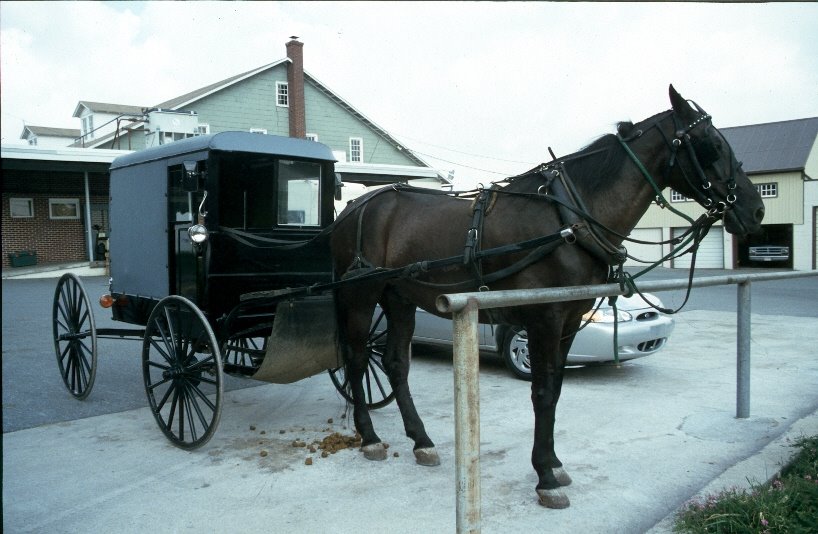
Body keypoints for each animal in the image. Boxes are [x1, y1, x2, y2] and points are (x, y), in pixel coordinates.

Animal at [328, 86, 760, 508]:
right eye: (711, 145)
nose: (755, 210)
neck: (569, 221)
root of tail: (353, 207)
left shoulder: (570, 319)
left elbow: (556, 388)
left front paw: (553, 463)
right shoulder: (544, 318)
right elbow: (542, 392)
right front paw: (546, 478)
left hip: (399, 298)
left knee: (395, 364)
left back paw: (422, 441)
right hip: (361, 297)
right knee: (357, 359)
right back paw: (370, 437)